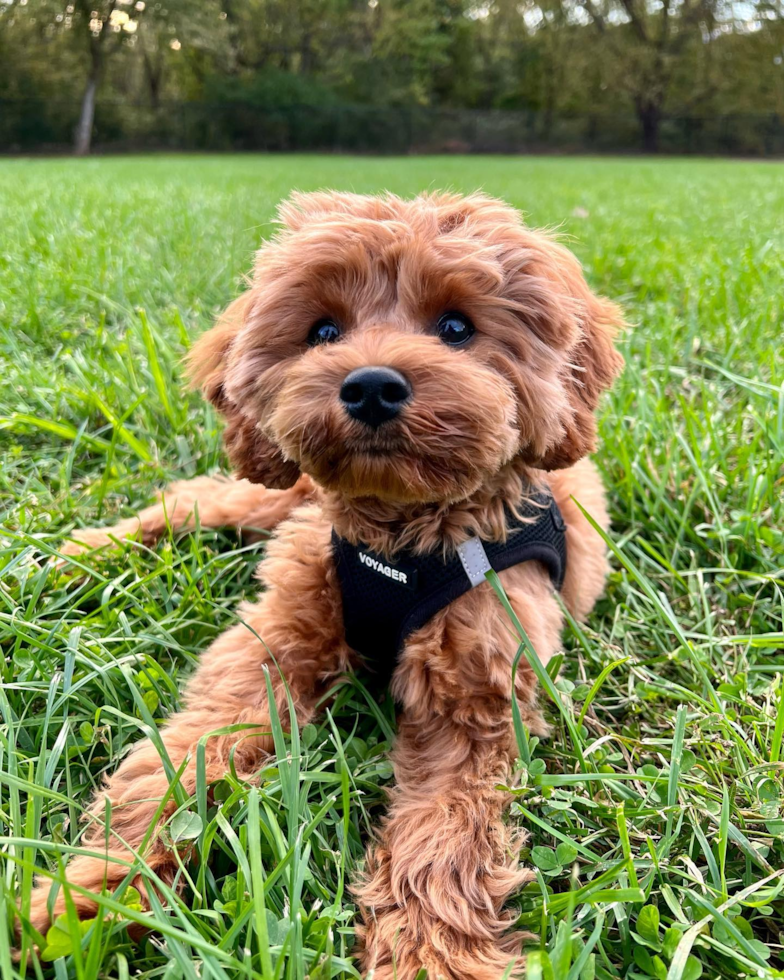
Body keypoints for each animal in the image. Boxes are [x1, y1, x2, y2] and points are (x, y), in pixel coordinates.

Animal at [26, 191, 624, 980]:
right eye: (324, 331)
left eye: (456, 327)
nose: (370, 385)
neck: (401, 541)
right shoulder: (274, 642)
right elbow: (179, 765)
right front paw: (90, 896)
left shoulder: (478, 702)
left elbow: (443, 842)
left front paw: (428, 957)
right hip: (279, 496)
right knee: (196, 498)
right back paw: (83, 552)